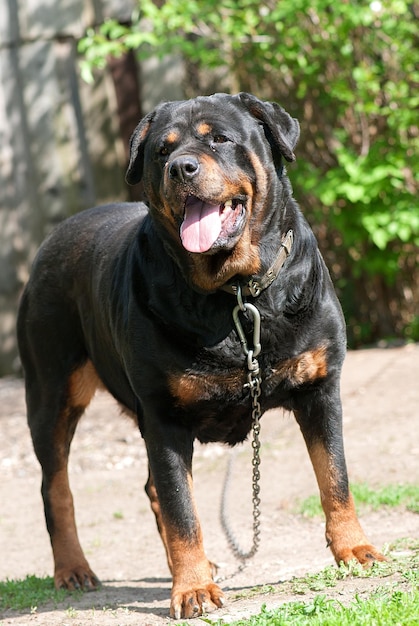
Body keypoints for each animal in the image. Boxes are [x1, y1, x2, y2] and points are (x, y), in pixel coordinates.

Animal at [18, 92, 386, 616]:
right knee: (57, 487)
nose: (181, 167)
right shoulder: (164, 416)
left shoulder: (320, 388)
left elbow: (335, 476)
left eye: (220, 139)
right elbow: (182, 510)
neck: (238, 295)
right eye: (162, 150)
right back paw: (73, 569)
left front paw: (353, 549)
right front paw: (191, 589)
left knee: (150, 487)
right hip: (51, 393)